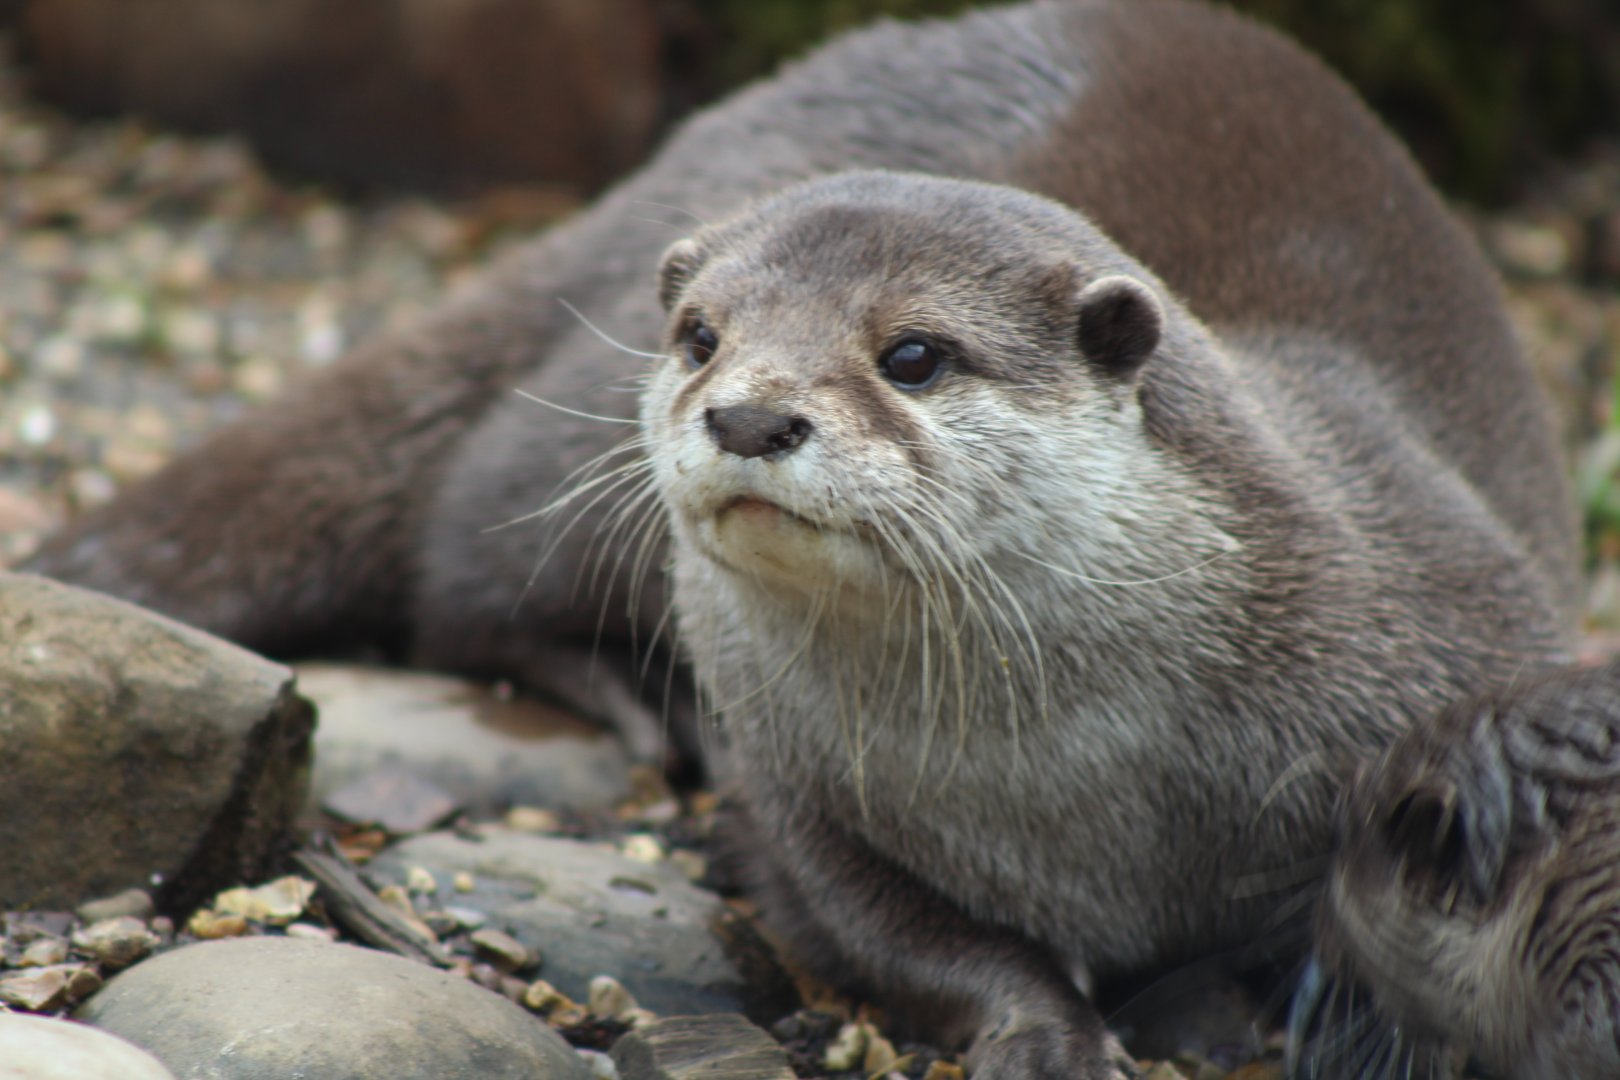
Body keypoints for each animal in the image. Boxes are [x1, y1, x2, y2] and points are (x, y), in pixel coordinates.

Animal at [18, 0, 1586, 1075]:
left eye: (915, 354)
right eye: (706, 336)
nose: (752, 411)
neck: (1085, 786)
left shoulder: (1455, 616)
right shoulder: (798, 795)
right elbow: (888, 931)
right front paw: (1045, 1032)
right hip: (564, 441)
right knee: (465, 562)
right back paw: (620, 689)